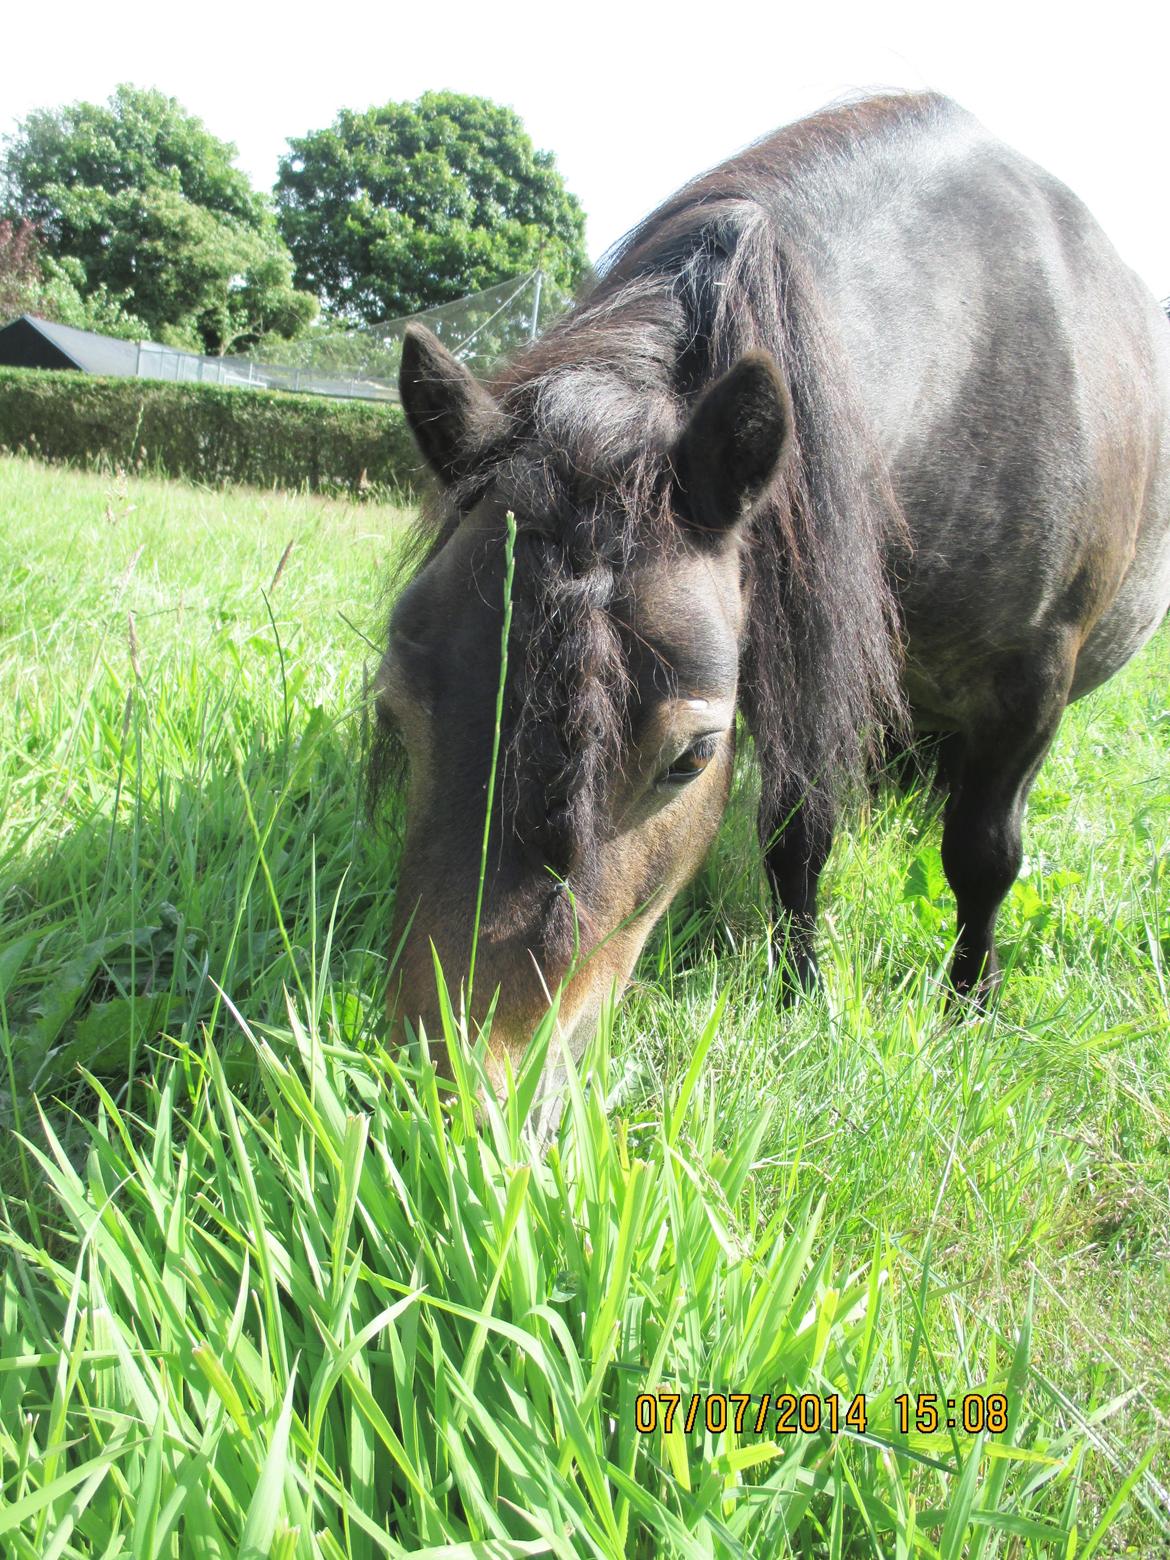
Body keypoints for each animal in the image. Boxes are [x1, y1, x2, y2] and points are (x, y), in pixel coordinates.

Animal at [372, 94, 1170, 1098]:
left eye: (691, 756)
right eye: (397, 713)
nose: (451, 1088)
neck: (978, 353)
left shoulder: (1030, 686)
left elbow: (984, 854)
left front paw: (970, 1004)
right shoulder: (809, 668)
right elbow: (799, 831)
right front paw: (799, 986)